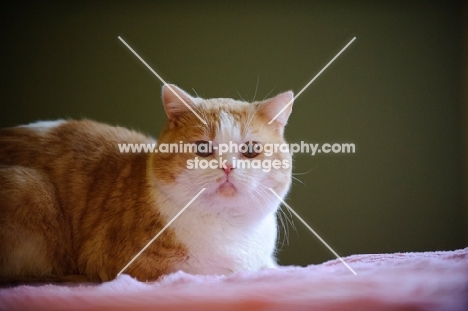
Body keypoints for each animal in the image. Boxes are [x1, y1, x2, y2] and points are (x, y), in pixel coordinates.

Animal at [0, 84, 292, 284]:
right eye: (203, 148)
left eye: (251, 149)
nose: (228, 167)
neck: (232, 227)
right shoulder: (128, 265)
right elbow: (217, 272)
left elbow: (269, 267)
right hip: (31, 187)